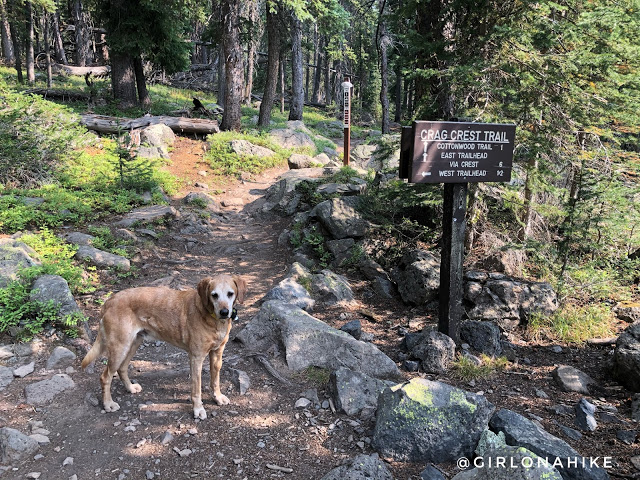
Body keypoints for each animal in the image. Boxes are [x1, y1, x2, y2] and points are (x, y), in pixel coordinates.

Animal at [81, 276, 246, 418]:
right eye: (214, 295)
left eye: (230, 294)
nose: (224, 312)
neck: (212, 318)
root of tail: (109, 301)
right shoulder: (196, 358)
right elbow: (196, 389)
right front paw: (198, 409)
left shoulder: (217, 354)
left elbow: (215, 380)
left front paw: (217, 397)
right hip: (119, 348)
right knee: (105, 377)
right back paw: (108, 404)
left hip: (133, 344)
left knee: (122, 368)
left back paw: (130, 388)